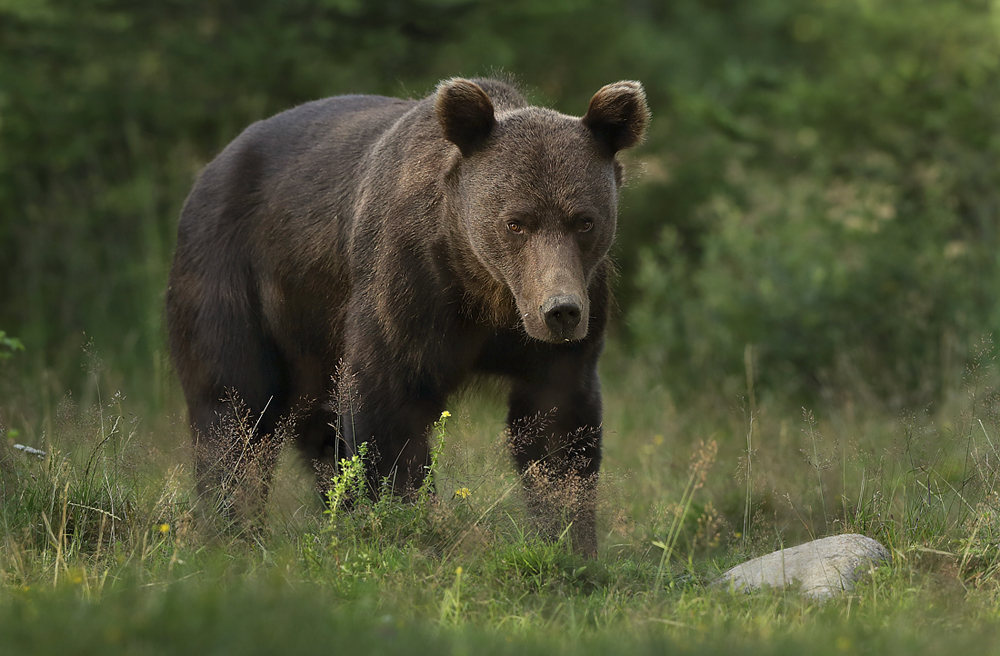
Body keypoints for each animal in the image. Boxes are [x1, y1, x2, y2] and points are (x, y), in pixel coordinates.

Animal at [166, 77, 648, 552]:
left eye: (584, 221)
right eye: (516, 223)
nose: (560, 311)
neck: (484, 291)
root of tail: (212, 165)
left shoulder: (564, 324)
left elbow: (558, 430)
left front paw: (568, 539)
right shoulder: (409, 289)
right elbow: (388, 407)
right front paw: (406, 524)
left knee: (316, 429)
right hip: (237, 274)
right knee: (235, 406)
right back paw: (233, 529)